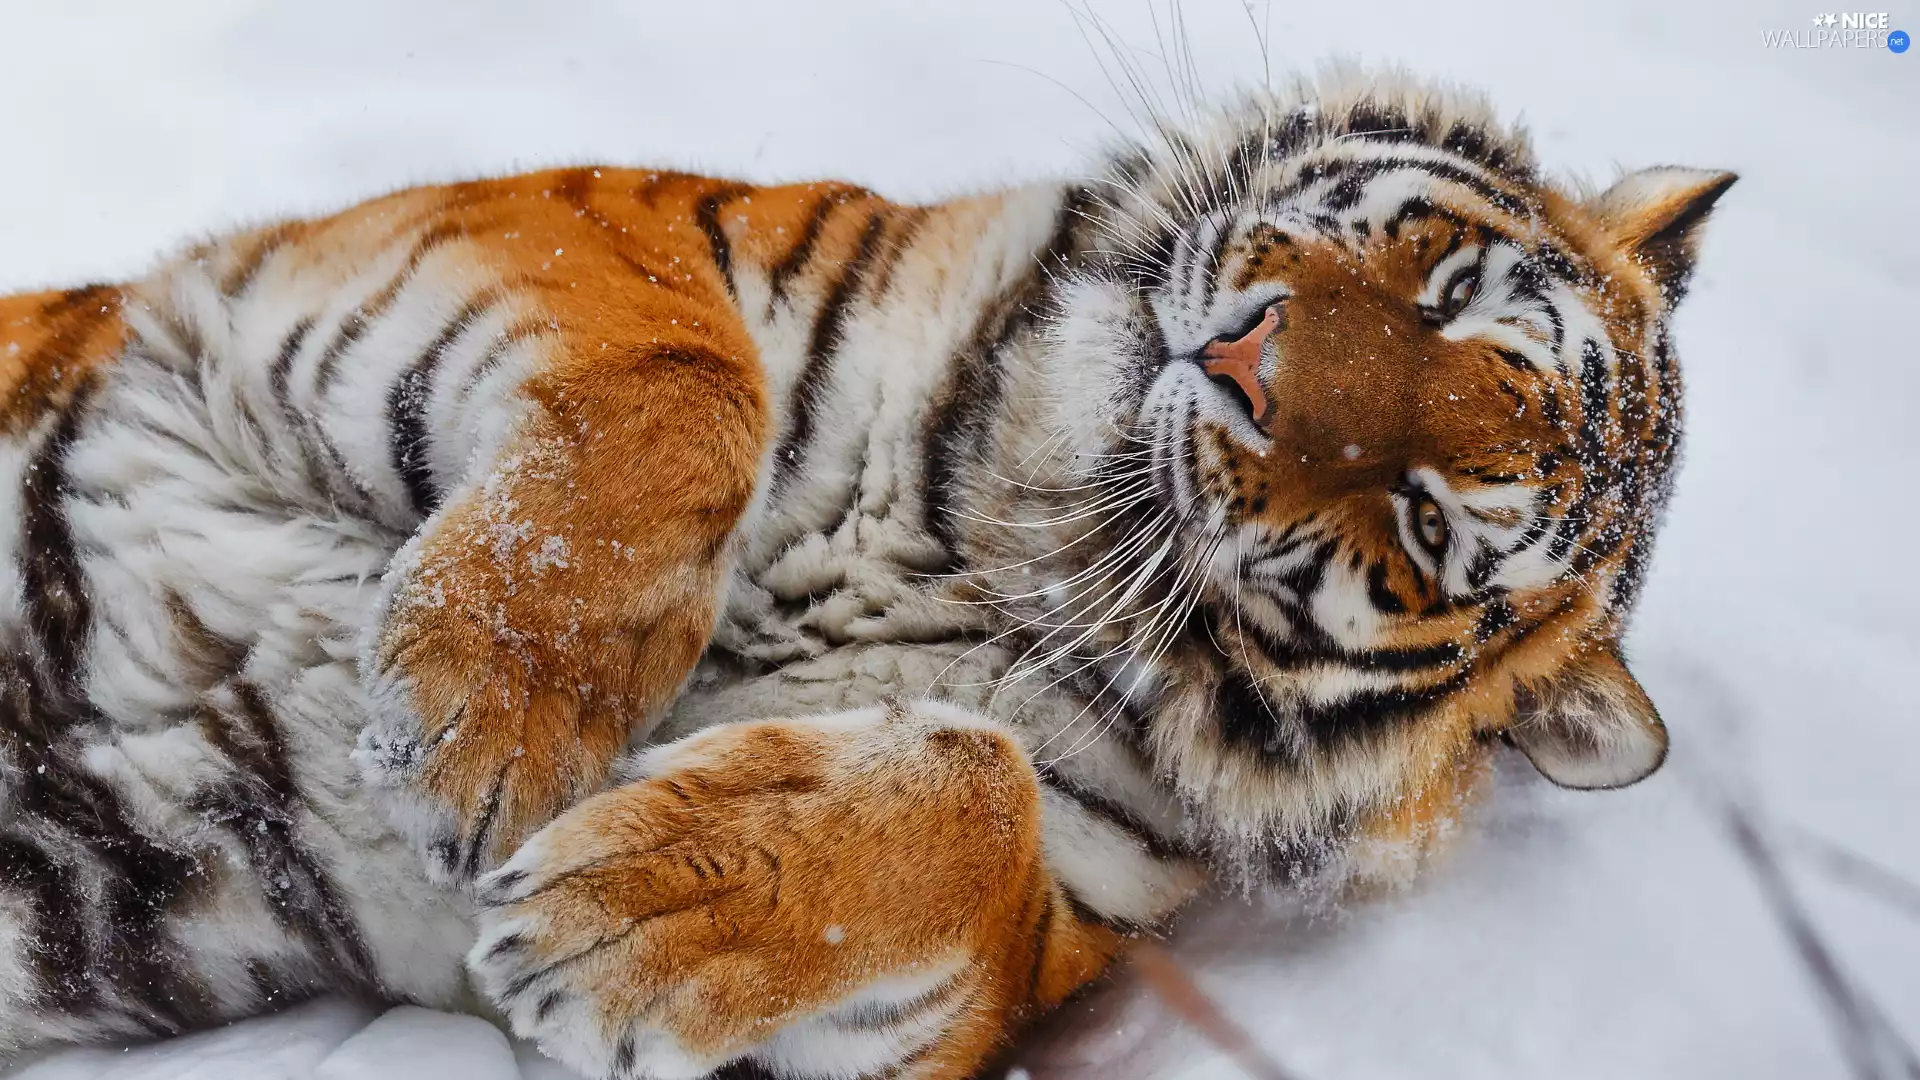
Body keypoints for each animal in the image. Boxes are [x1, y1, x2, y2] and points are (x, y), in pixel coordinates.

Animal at [0, 67, 1732, 1079]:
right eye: (1443, 290)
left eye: (1428, 525)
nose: (1242, 369)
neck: (1005, 525)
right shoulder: (535, 237)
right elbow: (691, 386)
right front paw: (478, 732)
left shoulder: (1049, 941)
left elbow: (986, 799)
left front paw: (622, 911)